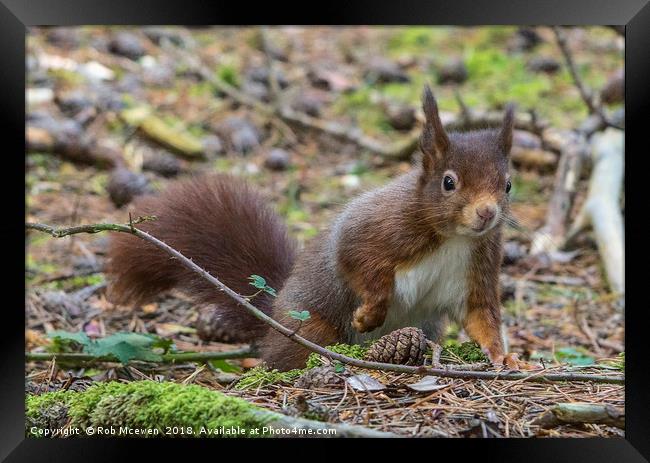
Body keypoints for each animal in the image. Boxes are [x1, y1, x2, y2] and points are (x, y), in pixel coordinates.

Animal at [107, 85, 520, 372]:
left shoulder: (477, 268)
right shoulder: (377, 226)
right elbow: (357, 259)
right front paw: (369, 314)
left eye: (508, 185)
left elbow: (482, 316)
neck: (453, 237)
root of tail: (273, 319)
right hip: (310, 327)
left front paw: (505, 358)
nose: (486, 213)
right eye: (449, 182)